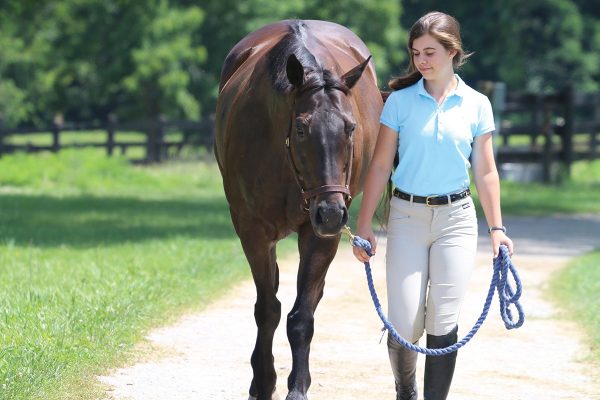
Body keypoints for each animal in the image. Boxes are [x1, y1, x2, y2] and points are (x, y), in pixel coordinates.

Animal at [216, 19, 382, 400]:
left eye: (350, 127)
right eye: (302, 128)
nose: (332, 214)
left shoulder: (319, 233)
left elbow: (302, 316)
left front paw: (297, 387)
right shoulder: (252, 230)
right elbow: (267, 310)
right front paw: (263, 383)